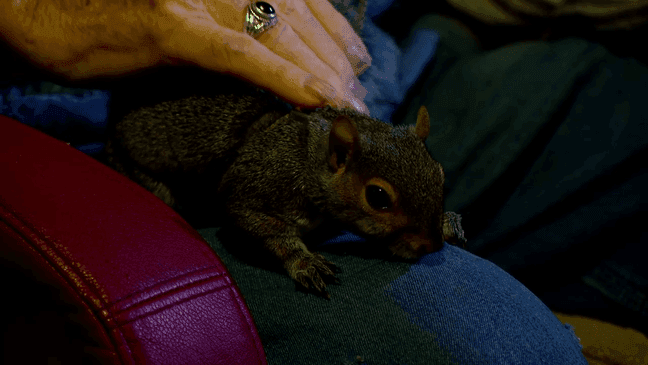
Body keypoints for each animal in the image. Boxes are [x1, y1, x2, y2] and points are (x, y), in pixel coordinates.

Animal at [105, 92, 466, 298]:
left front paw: (448, 222)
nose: (431, 245)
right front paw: (304, 261)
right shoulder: (257, 189)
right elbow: (265, 228)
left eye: (439, 174)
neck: (311, 161)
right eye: (377, 197)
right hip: (138, 169)